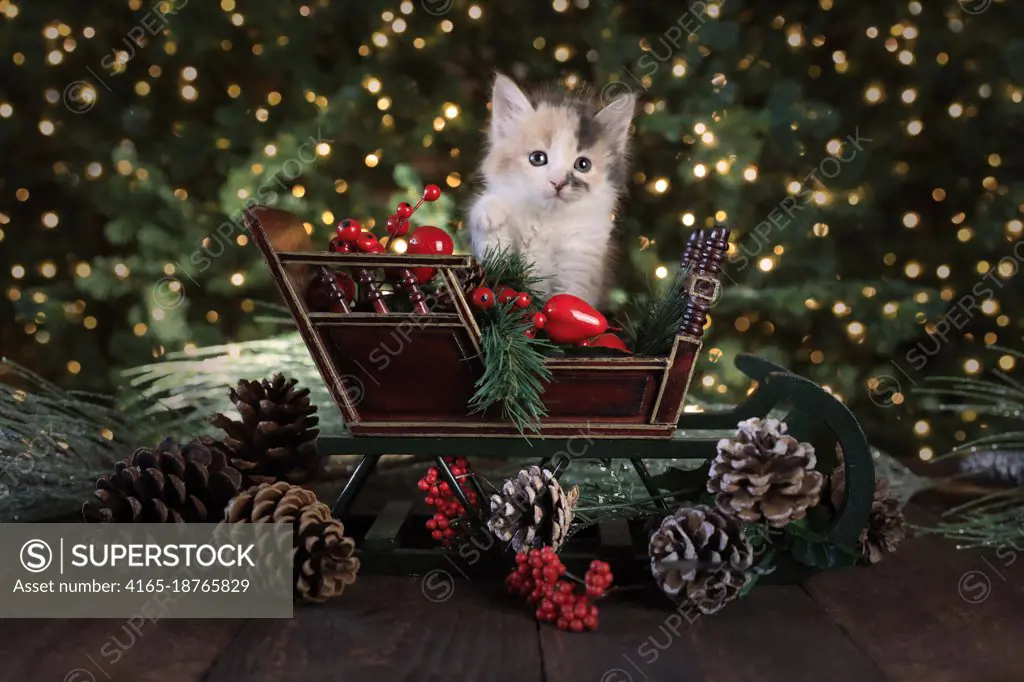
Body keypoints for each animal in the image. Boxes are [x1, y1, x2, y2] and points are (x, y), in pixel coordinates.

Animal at [468, 73, 630, 303]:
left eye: (583, 165)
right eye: (537, 158)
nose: (558, 182)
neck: (545, 222)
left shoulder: (582, 263)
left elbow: (570, 301)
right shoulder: (495, 259)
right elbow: (493, 263)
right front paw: (490, 212)